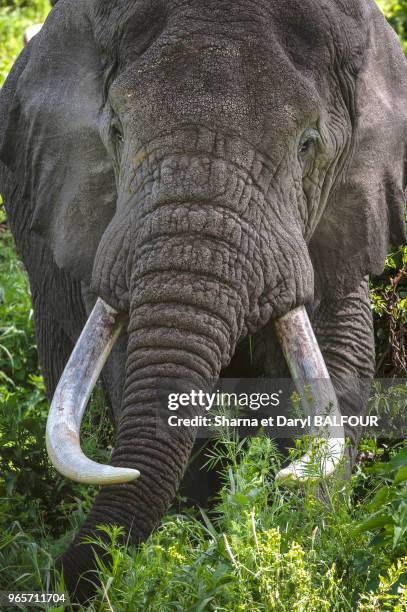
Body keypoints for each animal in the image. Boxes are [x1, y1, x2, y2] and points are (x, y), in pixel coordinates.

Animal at [0, 0, 407, 604]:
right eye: (116, 132)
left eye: (307, 145)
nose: (55, 580)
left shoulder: (348, 210)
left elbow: (339, 364)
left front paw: (296, 529)